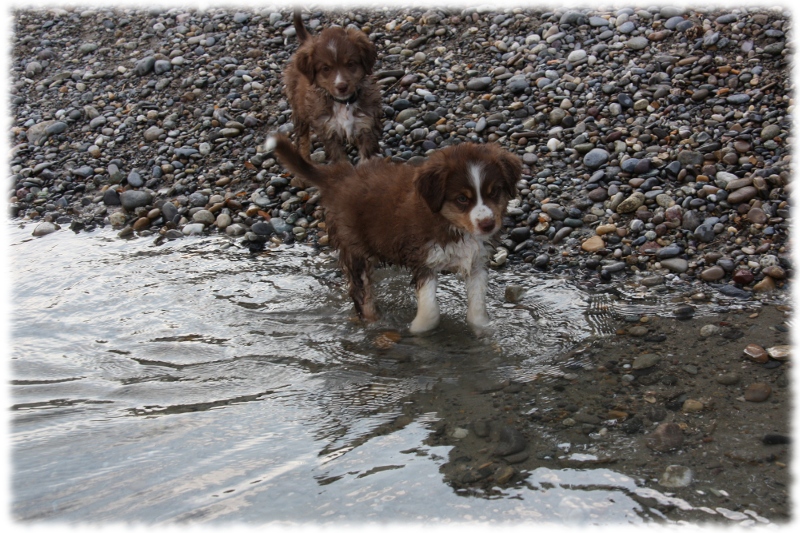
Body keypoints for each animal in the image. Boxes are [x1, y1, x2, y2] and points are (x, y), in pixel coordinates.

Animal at [266, 133, 520, 332]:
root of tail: (340, 177)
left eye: (494, 192)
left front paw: (484, 331)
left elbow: (477, 310)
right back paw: (374, 324)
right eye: (462, 199)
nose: (488, 224)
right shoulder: (424, 259)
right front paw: (416, 331)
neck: (453, 226)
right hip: (355, 248)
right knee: (361, 294)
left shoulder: (477, 261)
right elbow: (431, 311)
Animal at [282, 10, 382, 162]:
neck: (344, 104)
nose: (342, 86)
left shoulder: (366, 125)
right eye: (326, 68)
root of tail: (306, 42)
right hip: (299, 109)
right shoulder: (329, 131)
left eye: (351, 64)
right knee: (302, 138)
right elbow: (341, 161)